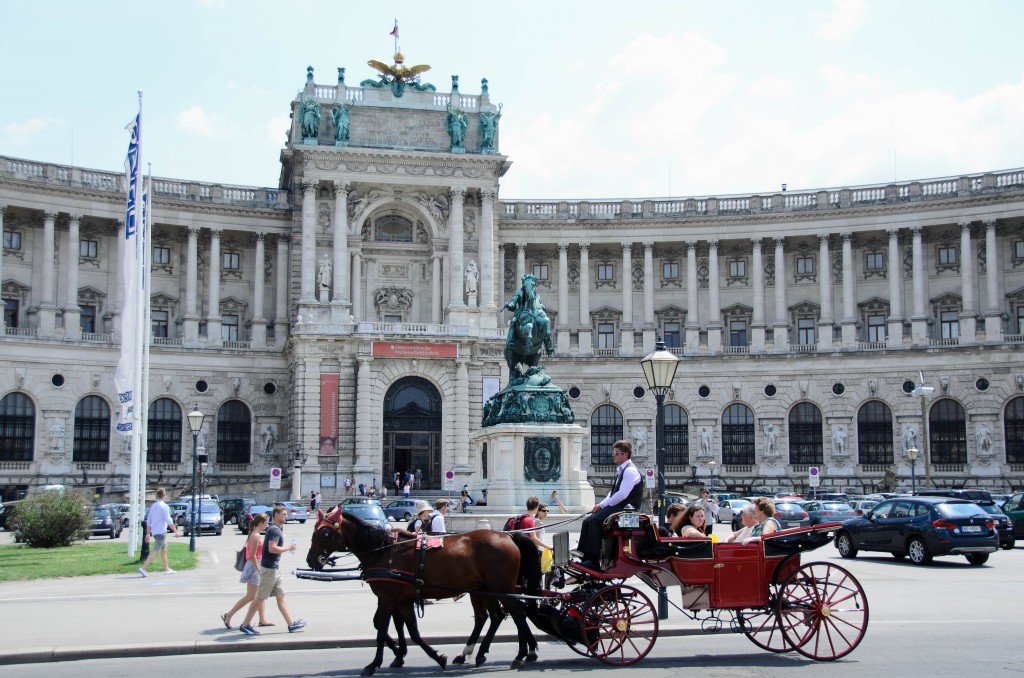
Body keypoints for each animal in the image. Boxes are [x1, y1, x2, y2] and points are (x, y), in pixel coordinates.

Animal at [305, 507, 540, 675]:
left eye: (325, 533)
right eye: (314, 531)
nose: (310, 560)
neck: (384, 551)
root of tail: (508, 536)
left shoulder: (387, 598)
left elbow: (382, 630)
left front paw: (374, 664)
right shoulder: (401, 600)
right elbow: (410, 631)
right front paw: (421, 656)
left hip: (501, 588)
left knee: (517, 615)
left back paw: (520, 655)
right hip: (485, 589)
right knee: (495, 615)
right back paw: (478, 654)